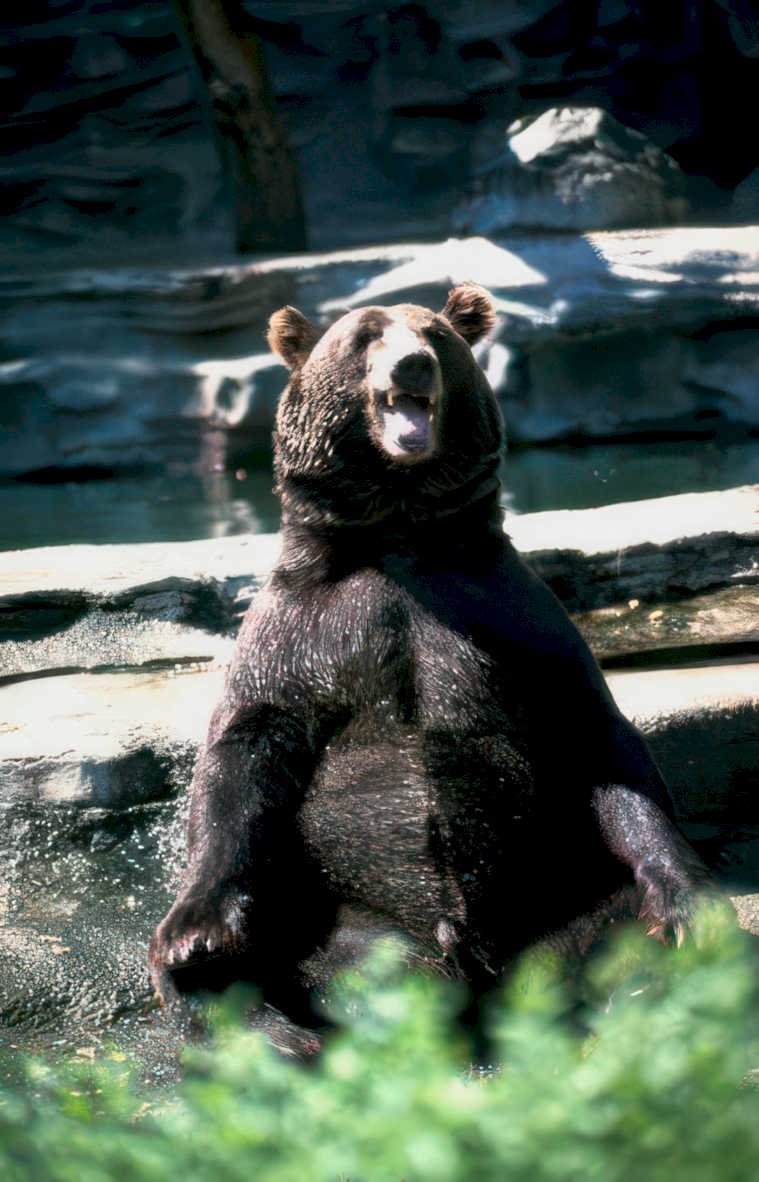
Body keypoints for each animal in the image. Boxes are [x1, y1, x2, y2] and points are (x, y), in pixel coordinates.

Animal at [149, 282, 710, 1044]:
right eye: (364, 336)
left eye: (433, 335)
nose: (411, 364)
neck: (400, 534)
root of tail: (473, 970)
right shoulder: (301, 631)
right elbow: (242, 757)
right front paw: (193, 933)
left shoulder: (510, 615)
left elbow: (599, 737)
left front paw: (687, 901)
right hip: (339, 930)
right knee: (256, 978)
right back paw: (277, 1023)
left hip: (558, 895)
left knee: (613, 934)